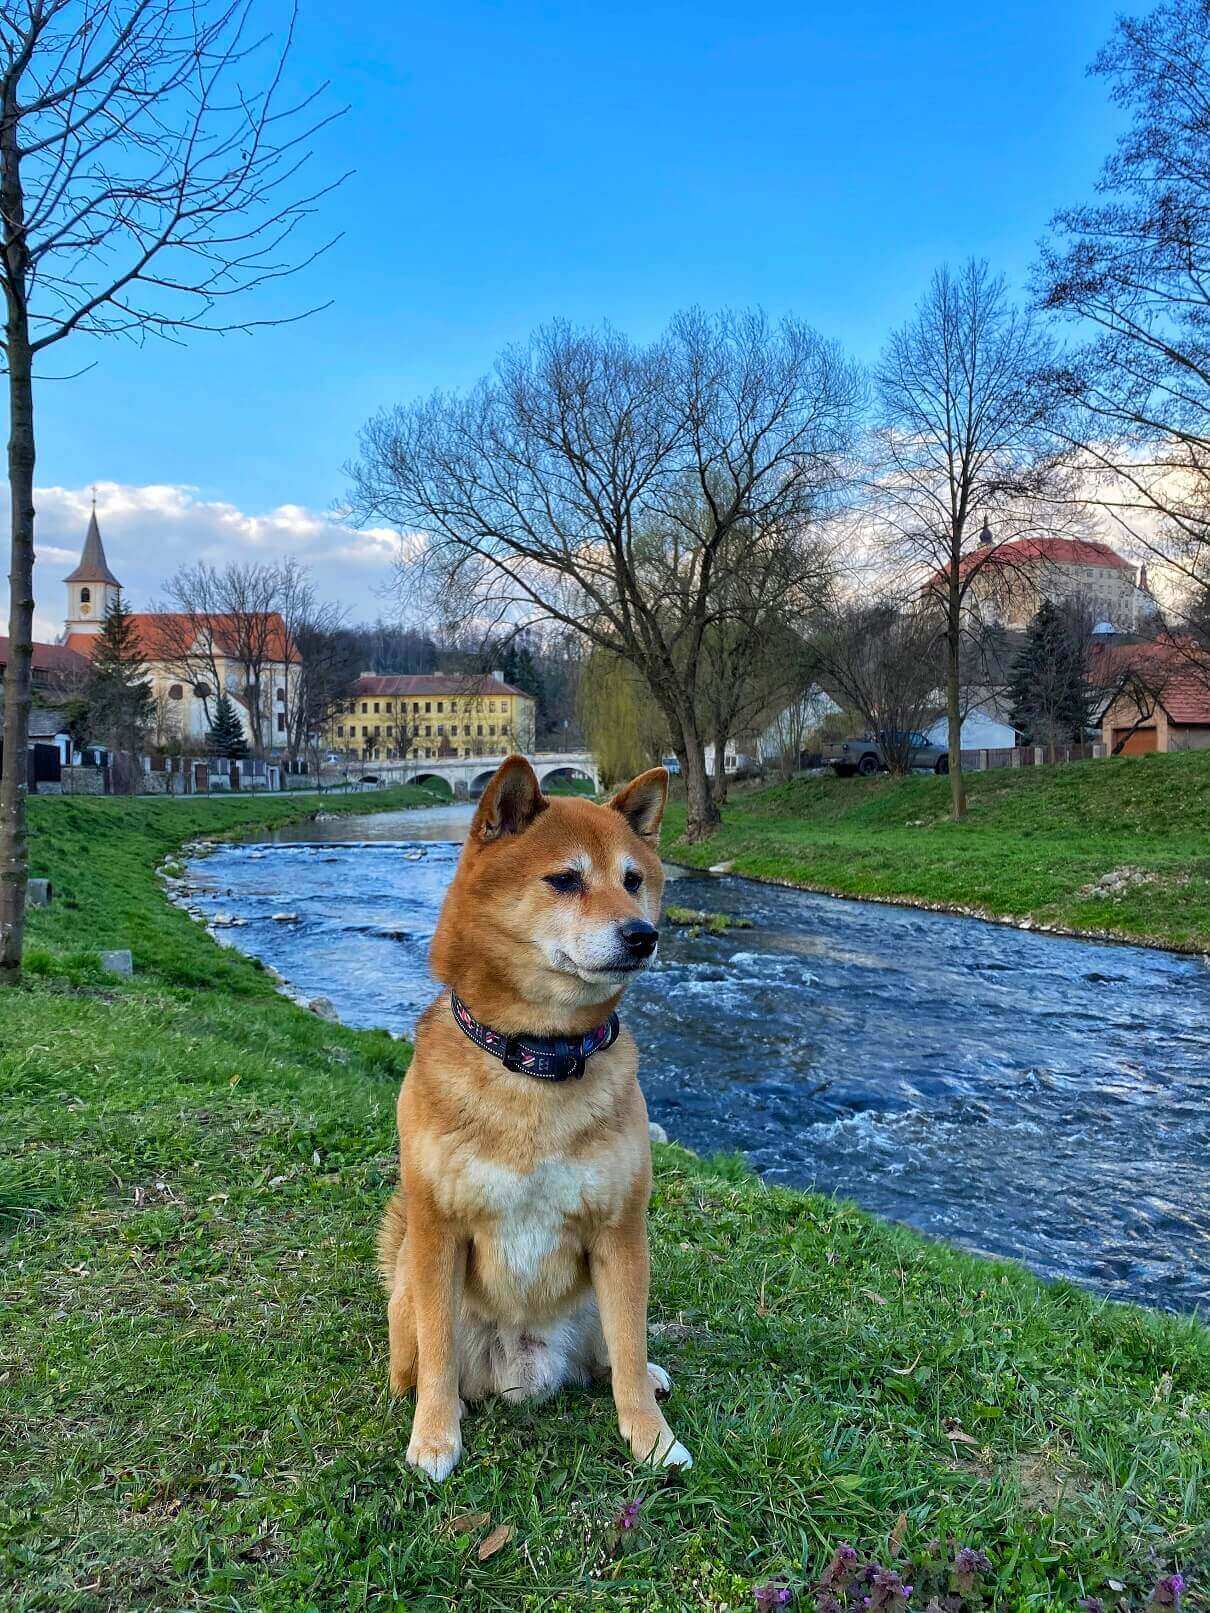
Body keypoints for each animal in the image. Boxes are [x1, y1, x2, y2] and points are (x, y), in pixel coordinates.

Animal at [383, 758, 696, 1483]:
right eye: (565, 879)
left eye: (633, 880)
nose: (642, 934)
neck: (538, 1059)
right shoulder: (439, 1228)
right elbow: (439, 1357)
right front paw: (435, 1438)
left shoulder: (620, 1231)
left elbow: (628, 1355)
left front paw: (651, 1438)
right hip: (410, 1290)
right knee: (422, 1364)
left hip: (602, 1293)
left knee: (615, 1354)